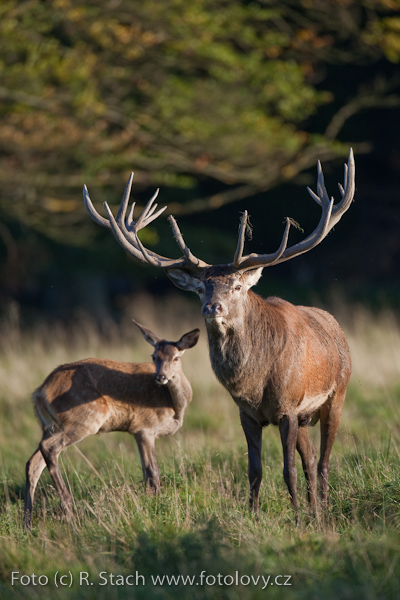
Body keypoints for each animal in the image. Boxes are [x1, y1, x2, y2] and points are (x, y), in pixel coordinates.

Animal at [24, 322, 199, 528]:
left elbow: (145, 472)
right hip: (85, 417)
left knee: (33, 463)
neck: (174, 406)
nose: (160, 376)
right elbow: (153, 470)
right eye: (154, 356)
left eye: (176, 357)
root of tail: (40, 392)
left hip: (49, 425)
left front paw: (150, 501)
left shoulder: (137, 432)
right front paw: (158, 504)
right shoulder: (145, 426)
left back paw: (27, 523)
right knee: (49, 448)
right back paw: (69, 510)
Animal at [84, 150, 356, 516]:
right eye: (201, 289)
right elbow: (255, 469)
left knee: (324, 460)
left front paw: (297, 515)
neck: (255, 382)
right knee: (312, 458)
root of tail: (336, 327)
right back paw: (316, 507)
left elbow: (287, 469)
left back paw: (321, 509)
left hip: (337, 394)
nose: (212, 308)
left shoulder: (287, 407)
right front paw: (254, 513)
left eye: (237, 286)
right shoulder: (247, 413)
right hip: (305, 416)